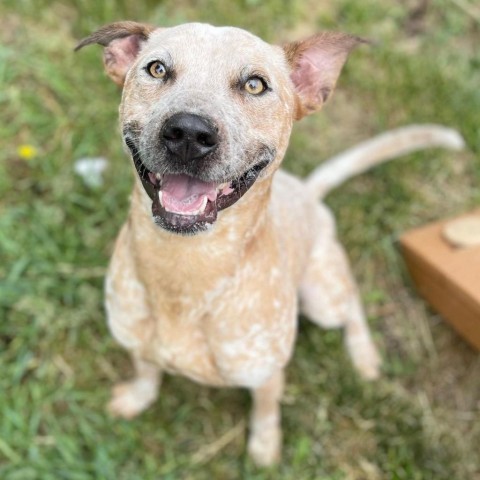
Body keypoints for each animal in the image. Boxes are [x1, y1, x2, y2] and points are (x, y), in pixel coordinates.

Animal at [76, 22, 464, 464]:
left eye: (255, 84)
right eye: (156, 69)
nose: (189, 133)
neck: (186, 269)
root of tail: (310, 193)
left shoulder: (267, 373)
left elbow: (265, 411)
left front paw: (264, 449)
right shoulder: (137, 346)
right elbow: (146, 374)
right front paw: (136, 399)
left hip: (322, 297)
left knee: (351, 305)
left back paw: (364, 356)